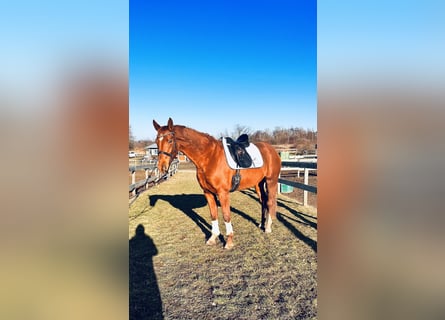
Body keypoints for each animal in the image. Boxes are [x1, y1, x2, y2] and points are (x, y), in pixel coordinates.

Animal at [151, 118, 280, 250]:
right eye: (156, 141)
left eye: (170, 140)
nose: (162, 167)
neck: (209, 156)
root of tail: (272, 150)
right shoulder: (208, 192)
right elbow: (213, 215)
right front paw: (213, 238)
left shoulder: (223, 193)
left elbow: (226, 216)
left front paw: (229, 242)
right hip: (258, 184)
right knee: (263, 201)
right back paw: (262, 224)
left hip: (271, 181)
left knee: (270, 202)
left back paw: (268, 227)